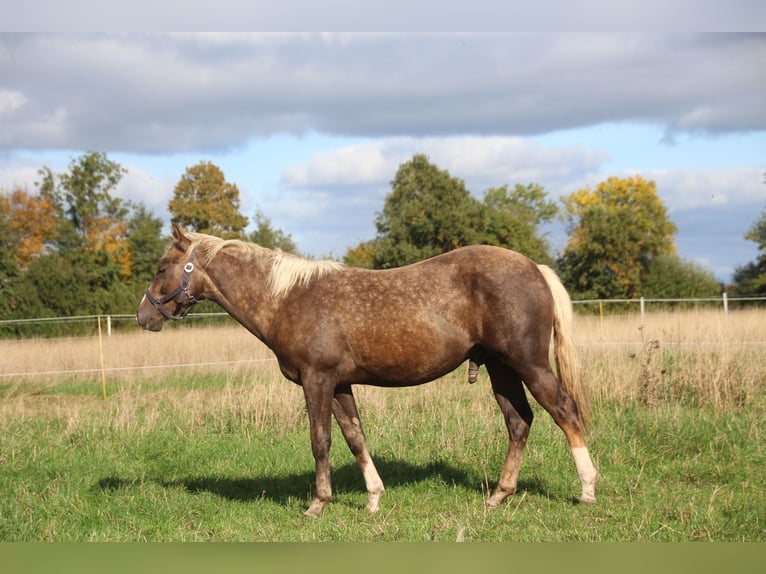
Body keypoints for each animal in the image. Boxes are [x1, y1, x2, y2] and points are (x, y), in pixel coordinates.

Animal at [136, 223, 598, 517]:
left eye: (161, 268)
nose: (144, 316)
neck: (286, 299)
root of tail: (536, 269)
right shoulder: (340, 385)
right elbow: (355, 438)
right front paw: (374, 499)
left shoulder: (317, 380)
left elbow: (320, 441)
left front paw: (317, 504)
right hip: (501, 369)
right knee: (519, 422)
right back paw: (498, 496)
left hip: (528, 363)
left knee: (565, 412)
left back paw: (587, 490)